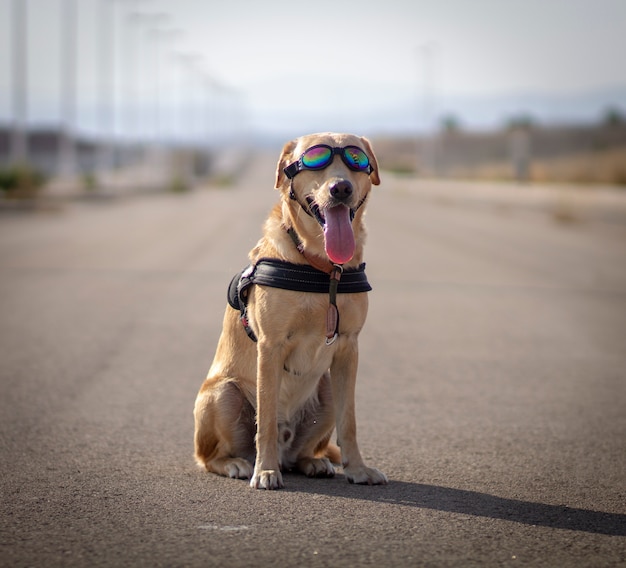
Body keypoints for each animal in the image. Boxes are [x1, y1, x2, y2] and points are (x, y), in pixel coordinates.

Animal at [193, 132, 386, 488]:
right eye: (315, 159)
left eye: (357, 160)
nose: (341, 188)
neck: (323, 269)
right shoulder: (271, 346)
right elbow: (267, 420)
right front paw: (266, 470)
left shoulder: (348, 348)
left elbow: (349, 421)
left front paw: (357, 469)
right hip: (222, 393)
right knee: (209, 456)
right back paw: (238, 463)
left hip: (326, 387)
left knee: (305, 453)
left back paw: (313, 462)